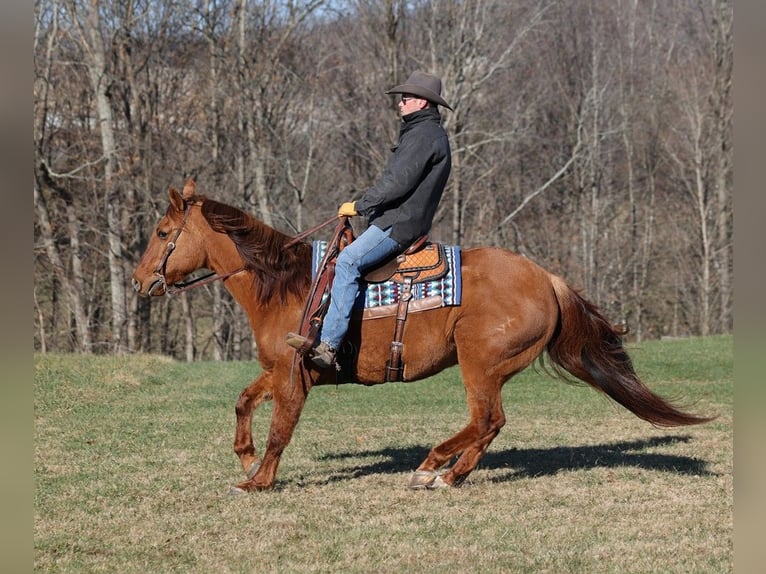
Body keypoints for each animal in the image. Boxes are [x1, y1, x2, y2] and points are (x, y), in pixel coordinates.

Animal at [130, 181, 712, 496]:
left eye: (162, 233)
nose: (139, 281)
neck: (288, 285)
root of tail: (547, 278)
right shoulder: (276, 370)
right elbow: (244, 402)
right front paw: (245, 456)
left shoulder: (296, 376)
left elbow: (280, 431)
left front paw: (259, 480)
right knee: (488, 426)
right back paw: (450, 476)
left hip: (480, 365)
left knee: (487, 420)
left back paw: (433, 469)